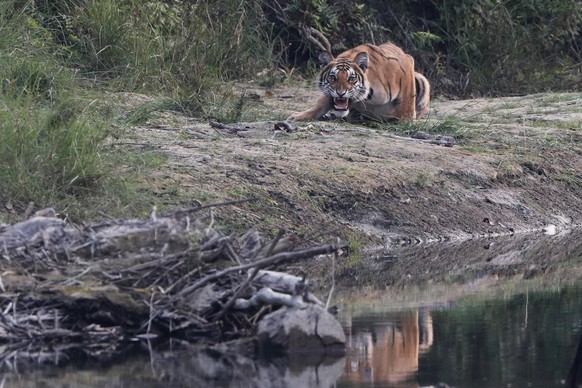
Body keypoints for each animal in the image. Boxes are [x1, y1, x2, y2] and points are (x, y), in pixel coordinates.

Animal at [290, 42, 432, 122]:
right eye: (333, 77)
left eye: (351, 78)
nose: (340, 93)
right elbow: (320, 104)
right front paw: (297, 116)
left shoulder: (406, 64)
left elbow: (407, 100)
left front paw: (405, 120)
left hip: (421, 80)